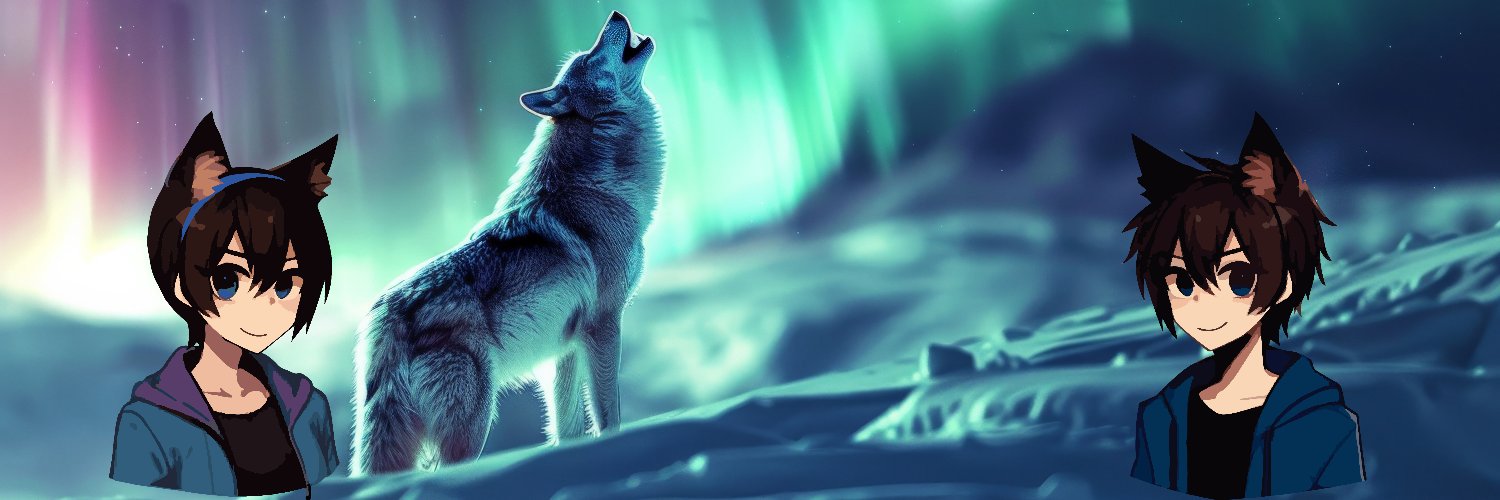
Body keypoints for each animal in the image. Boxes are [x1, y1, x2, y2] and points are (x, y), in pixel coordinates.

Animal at [350, 11, 662, 475]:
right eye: (590, 56)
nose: (616, 15)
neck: (598, 183)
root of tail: (385, 317)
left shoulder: (565, 348)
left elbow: (568, 427)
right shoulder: (604, 325)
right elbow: (610, 416)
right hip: (475, 420)